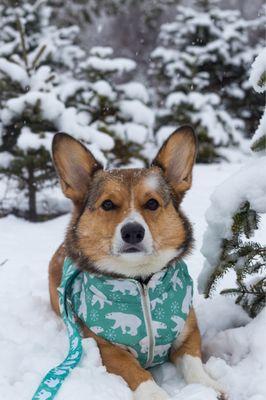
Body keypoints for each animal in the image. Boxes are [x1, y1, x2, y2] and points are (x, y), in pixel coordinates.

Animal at [47, 127, 224, 400]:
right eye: (108, 204)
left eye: (152, 203)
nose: (132, 232)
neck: (141, 281)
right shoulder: (107, 349)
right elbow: (138, 372)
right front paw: (156, 396)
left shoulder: (188, 333)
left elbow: (193, 362)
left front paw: (208, 386)